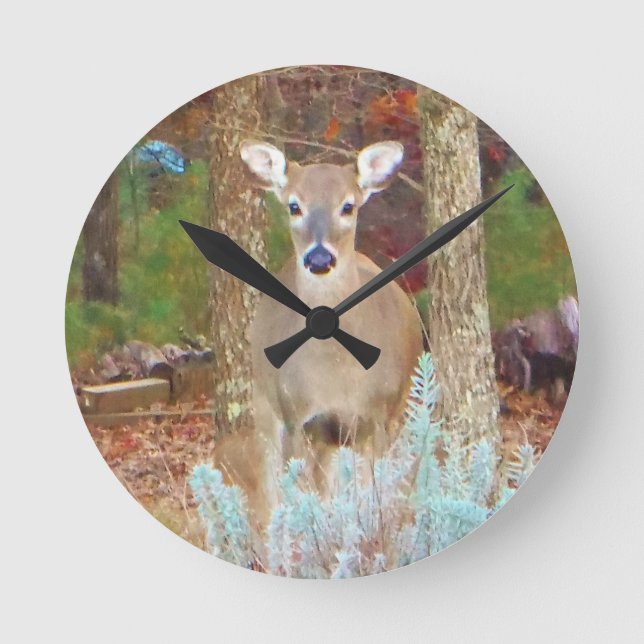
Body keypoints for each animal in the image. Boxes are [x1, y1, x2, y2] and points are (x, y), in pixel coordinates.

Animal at [228, 140, 423, 530]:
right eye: (294, 205)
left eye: (348, 205)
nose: (319, 259)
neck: (336, 375)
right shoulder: (299, 418)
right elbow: (305, 506)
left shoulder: (376, 418)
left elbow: (370, 502)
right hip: (266, 403)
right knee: (270, 488)